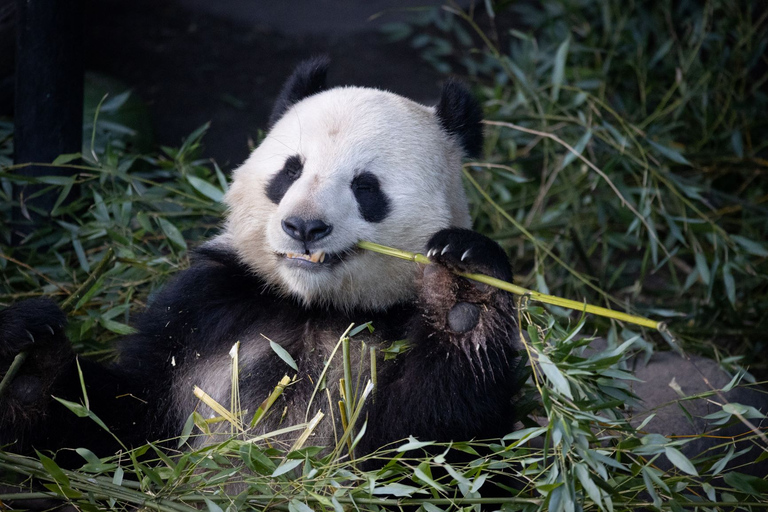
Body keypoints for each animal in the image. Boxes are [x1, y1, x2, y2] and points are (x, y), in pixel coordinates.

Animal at [0, 57, 520, 460]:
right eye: (290, 171)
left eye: (366, 186)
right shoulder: (202, 312)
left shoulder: (386, 340)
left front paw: (463, 294)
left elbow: (435, 438)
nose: (304, 227)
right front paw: (28, 357)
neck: (314, 307)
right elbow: (116, 420)